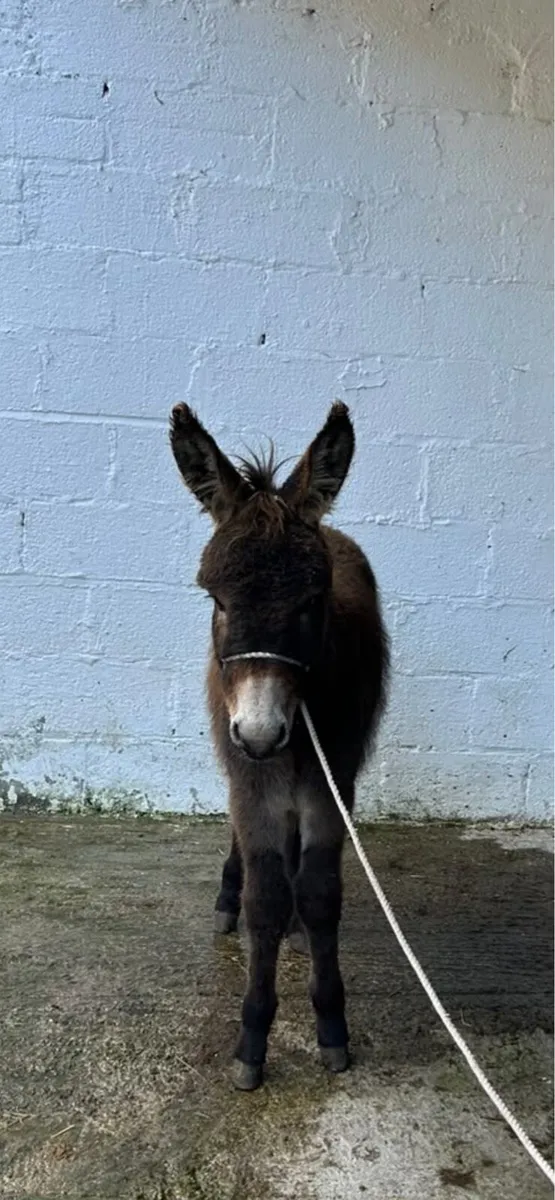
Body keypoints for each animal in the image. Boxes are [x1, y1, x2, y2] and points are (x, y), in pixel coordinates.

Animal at [170, 401, 389, 1090]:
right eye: (216, 599)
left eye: (313, 601)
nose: (263, 733)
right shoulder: (254, 784)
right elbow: (263, 899)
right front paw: (252, 1041)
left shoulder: (329, 783)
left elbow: (319, 895)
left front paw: (332, 1027)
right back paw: (227, 899)